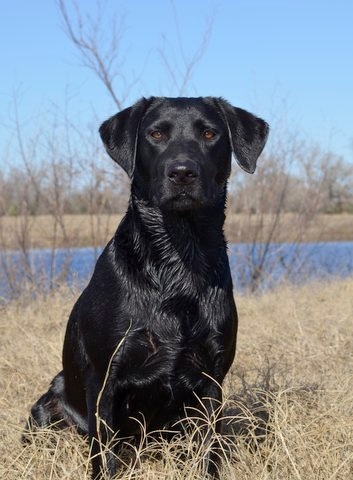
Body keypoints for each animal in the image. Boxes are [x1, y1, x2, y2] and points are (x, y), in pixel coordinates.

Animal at [26, 95, 266, 478]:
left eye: (210, 133)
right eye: (156, 133)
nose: (182, 172)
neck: (177, 262)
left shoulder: (211, 379)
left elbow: (207, 451)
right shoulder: (104, 378)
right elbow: (103, 454)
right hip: (50, 403)